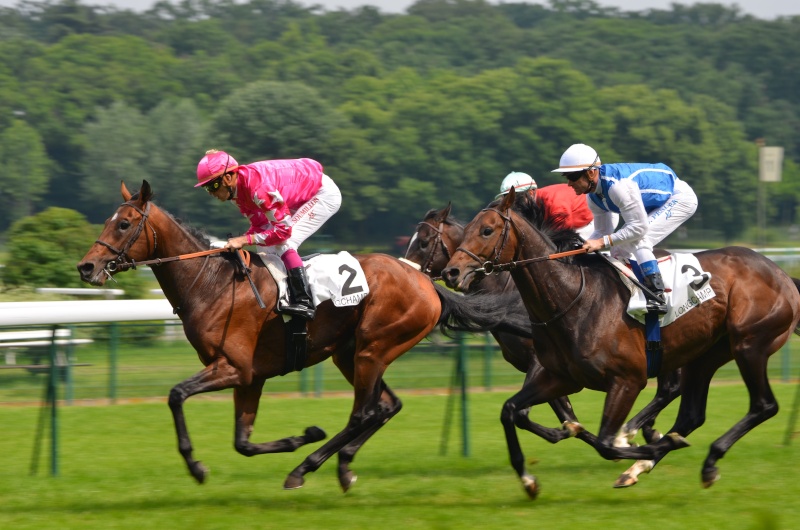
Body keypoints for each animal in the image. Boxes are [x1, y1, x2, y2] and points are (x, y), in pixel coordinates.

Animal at [76, 179, 536, 488]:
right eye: (111, 220)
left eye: (125, 224)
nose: (86, 266)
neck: (211, 283)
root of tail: (425, 281)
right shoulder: (250, 377)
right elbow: (243, 442)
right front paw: (302, 435)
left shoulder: (233, 368)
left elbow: (175, 395)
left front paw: (196, 466)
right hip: (351, 353)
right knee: (385, 406)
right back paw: (340, 466)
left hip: (373, 348)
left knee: (364, 412)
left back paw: (305, 468)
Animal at [406, 201, 680, 486]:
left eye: (423, 242)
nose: (410, 275)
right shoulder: (553, 368)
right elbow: (558, 414)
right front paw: (575, 433)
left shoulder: (539, 362)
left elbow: (537, 415)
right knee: (671, 387)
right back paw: (647, 433)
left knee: (670, 387)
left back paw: (635, 435)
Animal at [440, 188, 796, 498]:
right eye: (466, 230)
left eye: (487, 230)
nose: (452, 272)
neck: (572, 298)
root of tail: (782, 274)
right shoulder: (559, 376)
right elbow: (511, 410)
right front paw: (528, 480)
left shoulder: (627, 380)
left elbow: (605, 443)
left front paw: (638, 442)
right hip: (705, 355)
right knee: (692, 415)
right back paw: (659, 462)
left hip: (749, 344)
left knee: (763, 405)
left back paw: (684, 455)